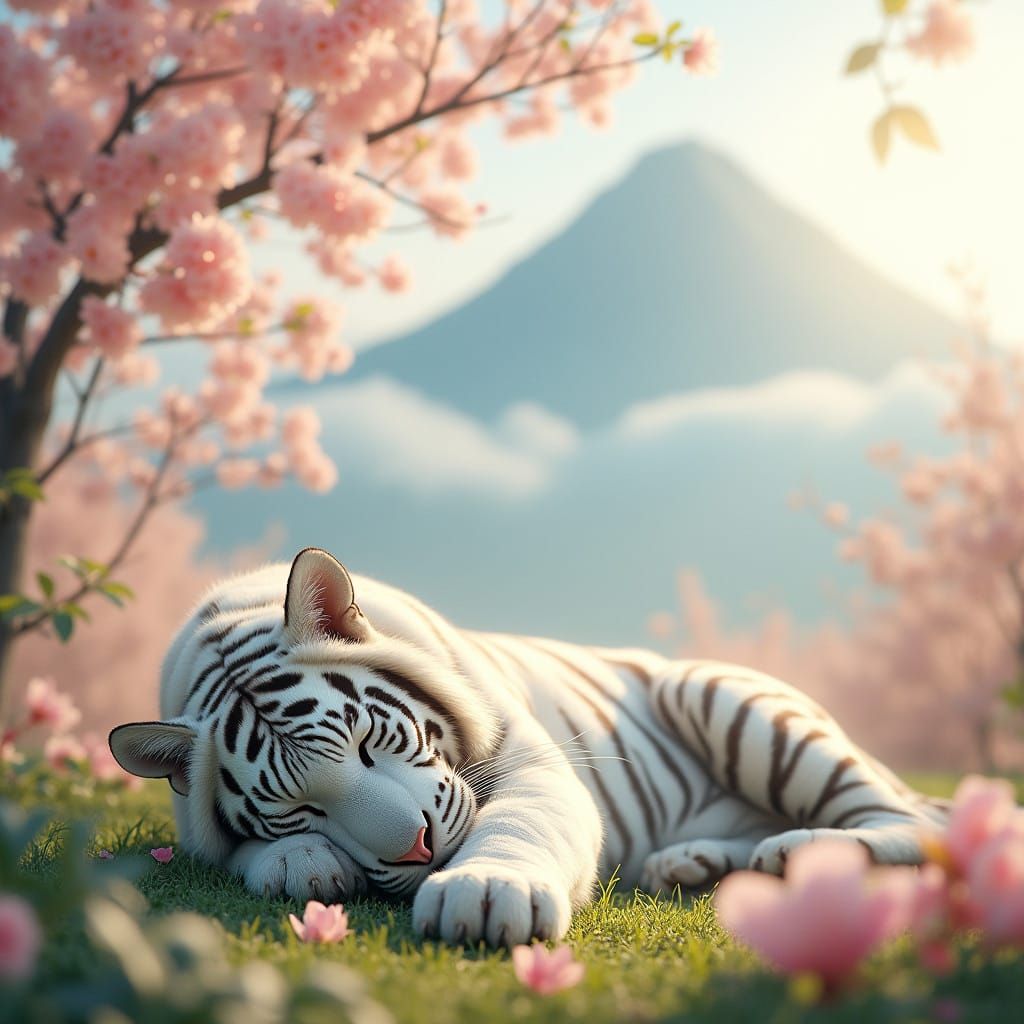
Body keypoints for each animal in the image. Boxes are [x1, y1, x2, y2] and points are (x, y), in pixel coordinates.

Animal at [109, 547, 948, 946]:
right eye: (297, 810)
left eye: (368, 743)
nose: (417, 849)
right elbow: (244, 852)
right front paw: (298, 863)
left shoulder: (534, 764)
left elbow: (519, 824)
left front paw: (484, 893)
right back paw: (696, 863)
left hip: (727, 699)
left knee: (916, 821)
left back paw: (807, 851)